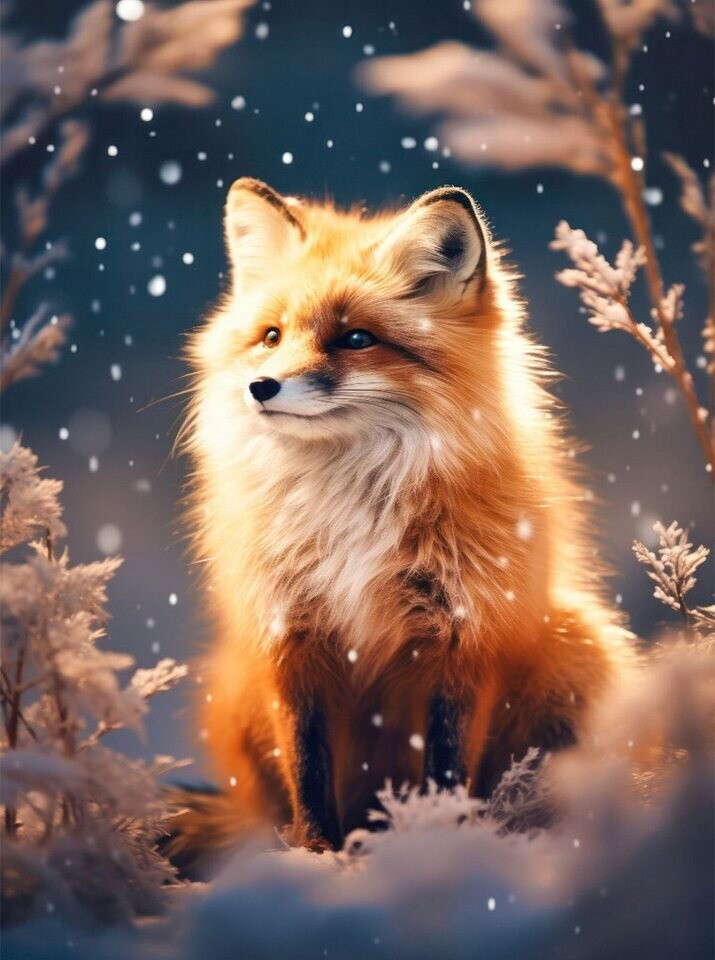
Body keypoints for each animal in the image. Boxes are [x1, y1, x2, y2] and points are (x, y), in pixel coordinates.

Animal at [179, 177, 634, 858]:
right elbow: (307, 767)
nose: (260, 386)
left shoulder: (465, 634)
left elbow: (445, 766)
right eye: (271, 336)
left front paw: (439, 843)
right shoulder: (288, 637)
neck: (350, 508)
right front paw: (317, 857)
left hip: (580, 646)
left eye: (356, 339)